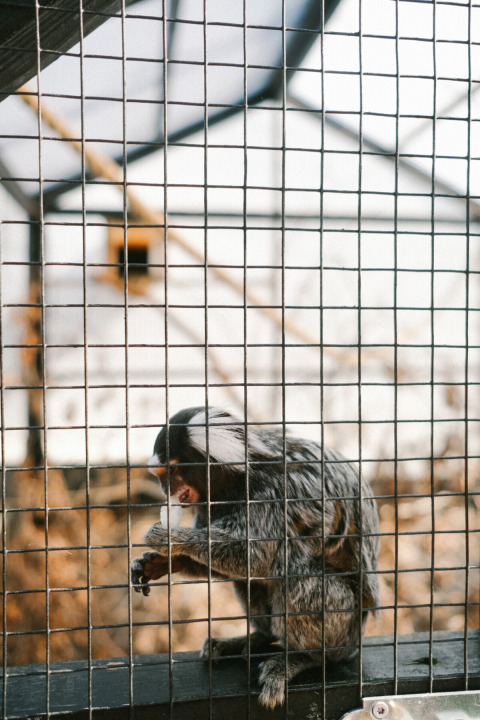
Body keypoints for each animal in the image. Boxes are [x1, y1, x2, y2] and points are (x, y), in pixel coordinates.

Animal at [131, 406, 380, 709]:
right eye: (158, 474)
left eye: (171, 470)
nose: (165, 490)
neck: (238, 479)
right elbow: (233, 570)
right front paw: (159, 563)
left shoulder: (271, 496)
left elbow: (254, 559)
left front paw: (172, 538)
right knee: (254, 584)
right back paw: (257, 637)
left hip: (346, 628)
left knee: (299, 577)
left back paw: (303, 657)